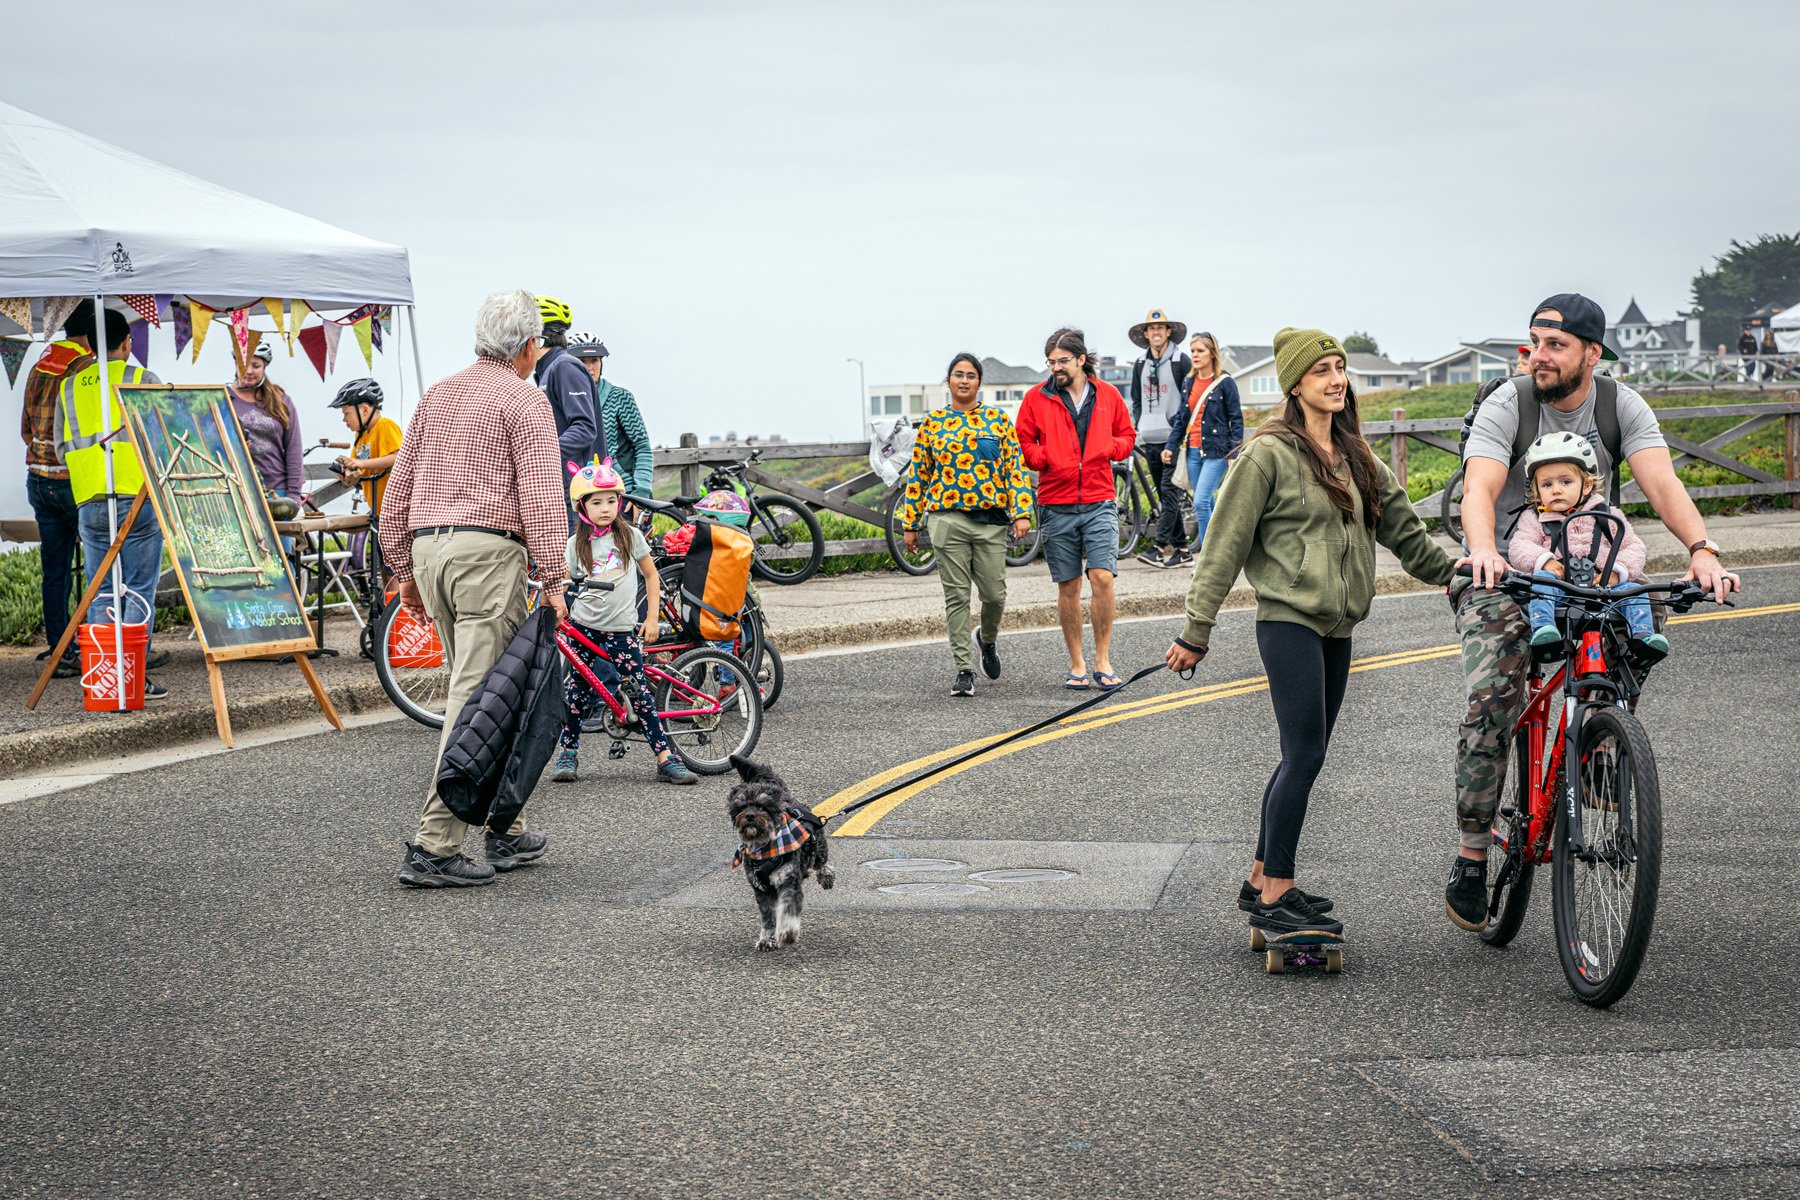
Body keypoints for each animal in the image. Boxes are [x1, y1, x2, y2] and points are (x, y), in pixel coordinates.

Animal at [727, 755, 831, 949]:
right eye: (742, 806)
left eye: (762, 806)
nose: (750, 816)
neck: (763, 848)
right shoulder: (761, 890)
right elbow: (768, 917)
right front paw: (767, 939)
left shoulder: (788, 882)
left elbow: (788, 910)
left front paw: (787, 933)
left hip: (818, 845)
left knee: (822, 862)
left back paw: (826, 876)